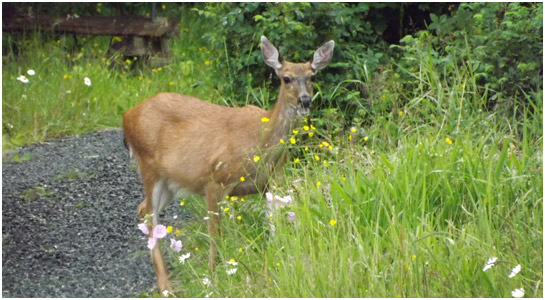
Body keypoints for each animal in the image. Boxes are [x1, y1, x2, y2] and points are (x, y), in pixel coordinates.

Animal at [123, 36, 334, 292]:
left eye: (312, 77)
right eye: (286, 78)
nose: (305, 100)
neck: (260, 139)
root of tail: (127, 116)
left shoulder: (272, 181)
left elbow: (274, 227)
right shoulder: (214, 179)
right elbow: (216, 236)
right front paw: (212, 277)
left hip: (170, 182)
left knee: (143, 209)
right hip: (149, 166)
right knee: (150, 216)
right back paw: (166, 286)